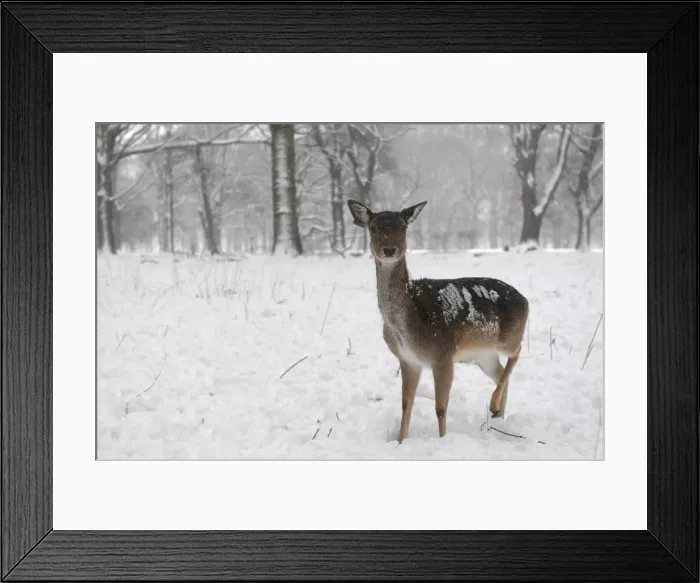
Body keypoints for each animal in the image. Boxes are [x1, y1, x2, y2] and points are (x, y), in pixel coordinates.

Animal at [347, 199, 529, 443]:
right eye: (373, 228)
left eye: (403, 227)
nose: (389, 249)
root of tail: (525, 299)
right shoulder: (408, 360)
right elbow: (406, 404)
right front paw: (400, 441)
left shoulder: (443, 355)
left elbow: (440, 408)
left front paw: (442, 441)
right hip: (483, 355)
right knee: (501, 373)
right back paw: (498, 417)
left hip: (510, 336)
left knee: (516, 353)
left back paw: (493, 405)